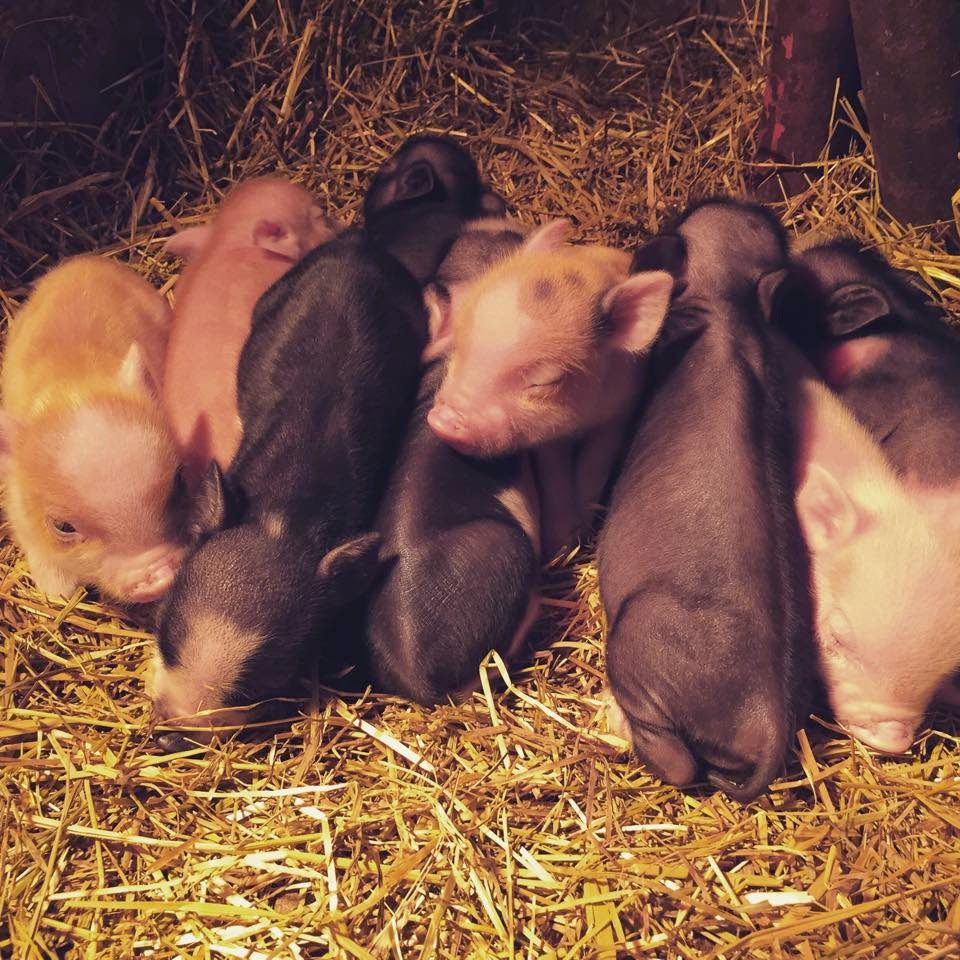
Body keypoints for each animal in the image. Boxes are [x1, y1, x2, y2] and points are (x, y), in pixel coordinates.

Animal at [0, 256, 187, 603]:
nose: (158, 575)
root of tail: (84, 260)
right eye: (63, 526)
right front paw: (57, 593)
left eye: (179, 482)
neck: (77, 391)